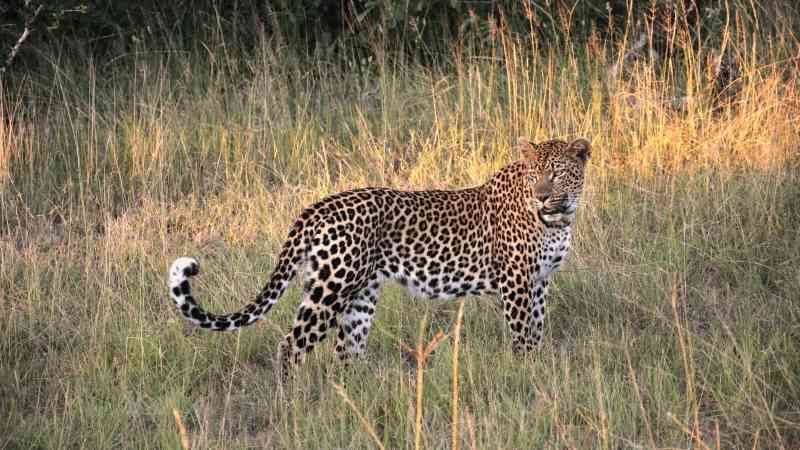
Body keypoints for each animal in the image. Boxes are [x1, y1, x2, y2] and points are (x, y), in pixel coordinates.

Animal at [167, 137, 591, 373]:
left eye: (556, 174)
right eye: (534, 174)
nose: (541, 195)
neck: (559, 218)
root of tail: (316, 207)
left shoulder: (540, 282)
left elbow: (537, 329)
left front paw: (536, 365)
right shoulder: (516, 281)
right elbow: (522, 334)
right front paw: (524, 372)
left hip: (359, 296)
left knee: (345, 352)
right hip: (331, 289)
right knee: (291, 345)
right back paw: (292, 405)